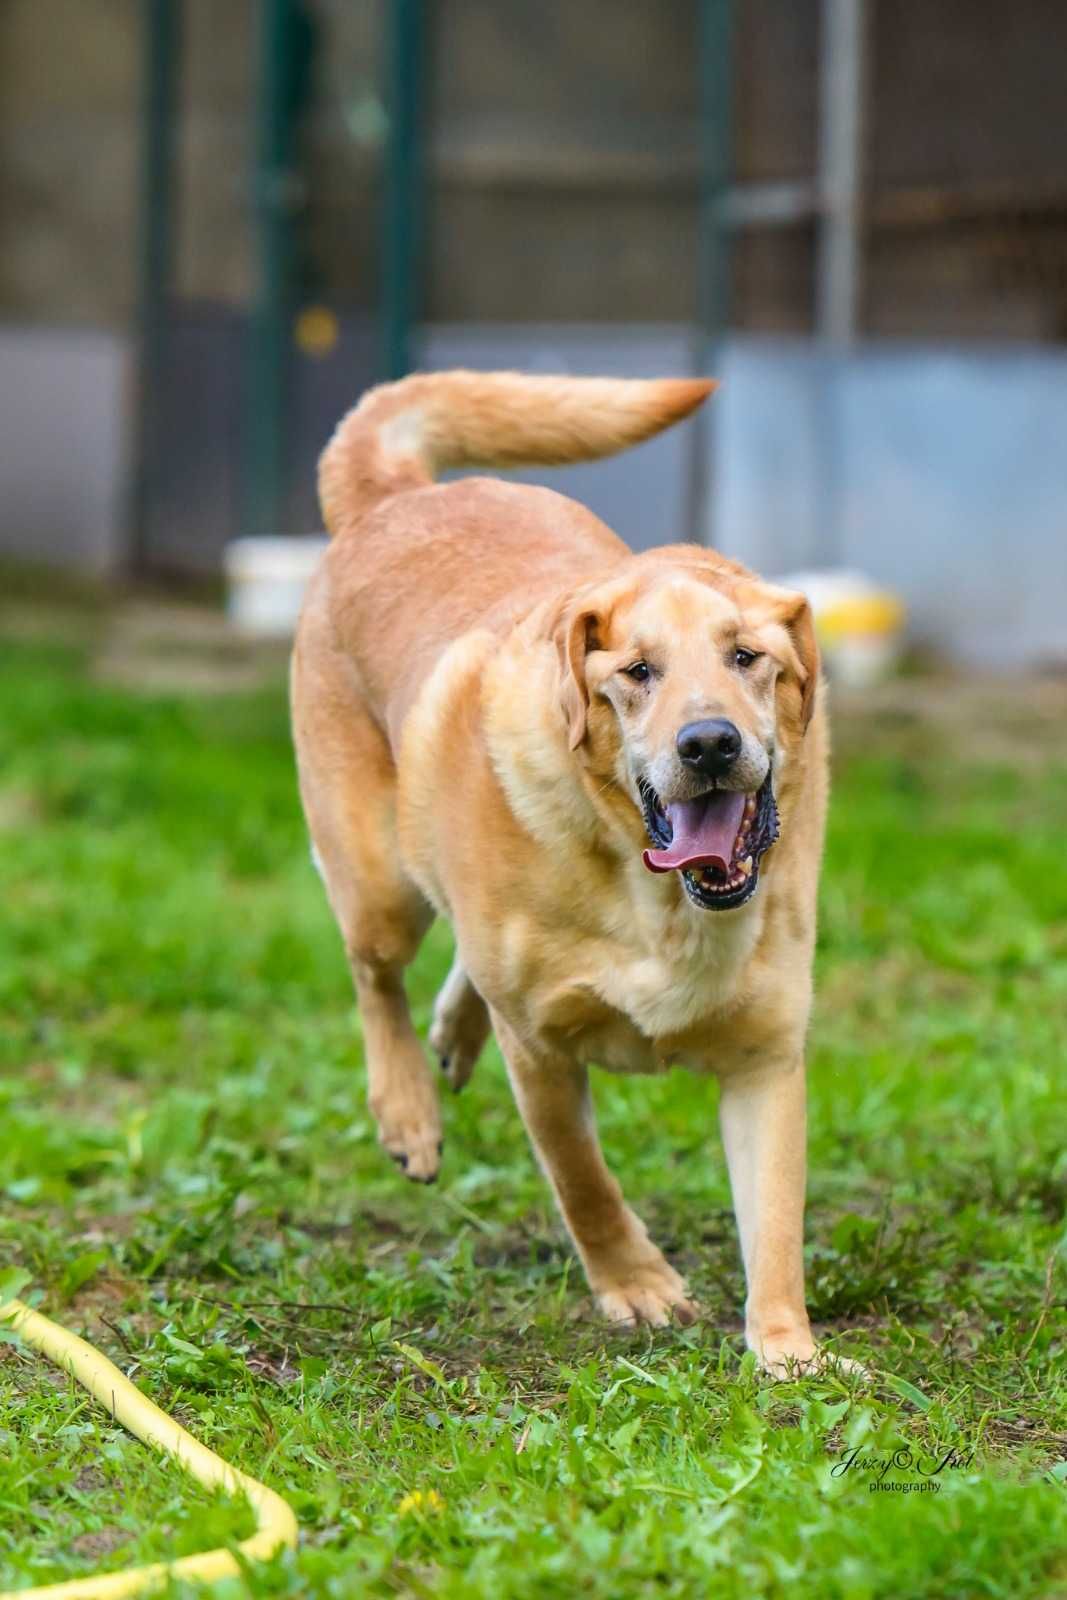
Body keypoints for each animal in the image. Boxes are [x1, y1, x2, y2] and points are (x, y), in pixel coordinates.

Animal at [292, 371, 831, 1376]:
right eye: (637, 673)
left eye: (747, 657)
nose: (708, 744)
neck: (661, 898)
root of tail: (395, 499)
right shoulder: (539, 1048)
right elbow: (581, 1178)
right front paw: (636, 1284)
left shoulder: (767, 1055)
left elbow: (775, 1221)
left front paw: (789, 1355)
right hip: (379, 882)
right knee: (376, 975)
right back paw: (407, 1111)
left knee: (453, 966)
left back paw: (450, 1036)